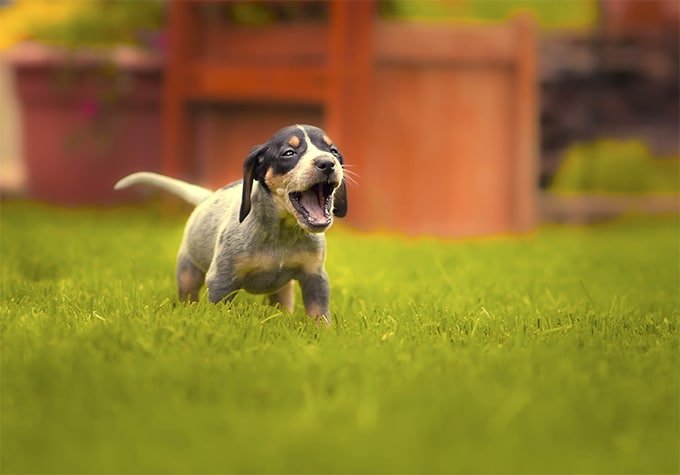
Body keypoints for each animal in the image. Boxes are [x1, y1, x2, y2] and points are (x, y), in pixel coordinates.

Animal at [115, 123, 348, 324]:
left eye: (334, 151)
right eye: (289, 153)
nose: (327, 163)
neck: (282, 234)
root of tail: (207, 197)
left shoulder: (315, 278)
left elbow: (319, 315)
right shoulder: (221, 281)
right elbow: (217, 314)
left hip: (283, 291)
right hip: (188, 273)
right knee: (188, 296)